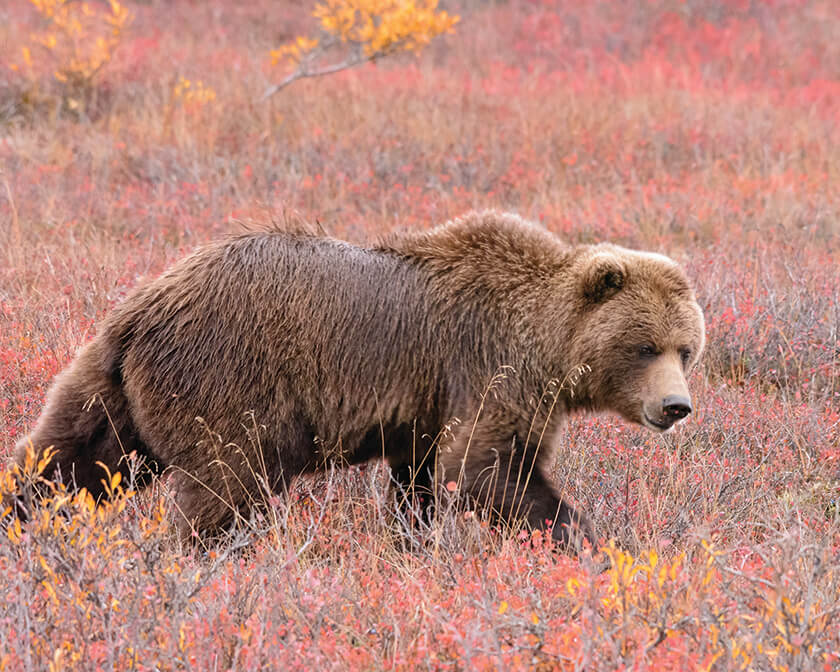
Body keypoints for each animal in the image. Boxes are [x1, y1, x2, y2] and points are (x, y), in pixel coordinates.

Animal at [14, 210, 708, 544]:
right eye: (644, 346)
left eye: (686, 349)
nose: (676, 406)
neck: (549, 344)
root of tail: (147, 303)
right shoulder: (489, 370)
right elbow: (486, 468)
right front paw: (583, 540)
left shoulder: (424, 409)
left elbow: (419, 482)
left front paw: (411, 541)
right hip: (224, 379)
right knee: (222, 488)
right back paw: (201, 556)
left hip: (113, 383)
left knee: (68, 459)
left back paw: (23, 521)